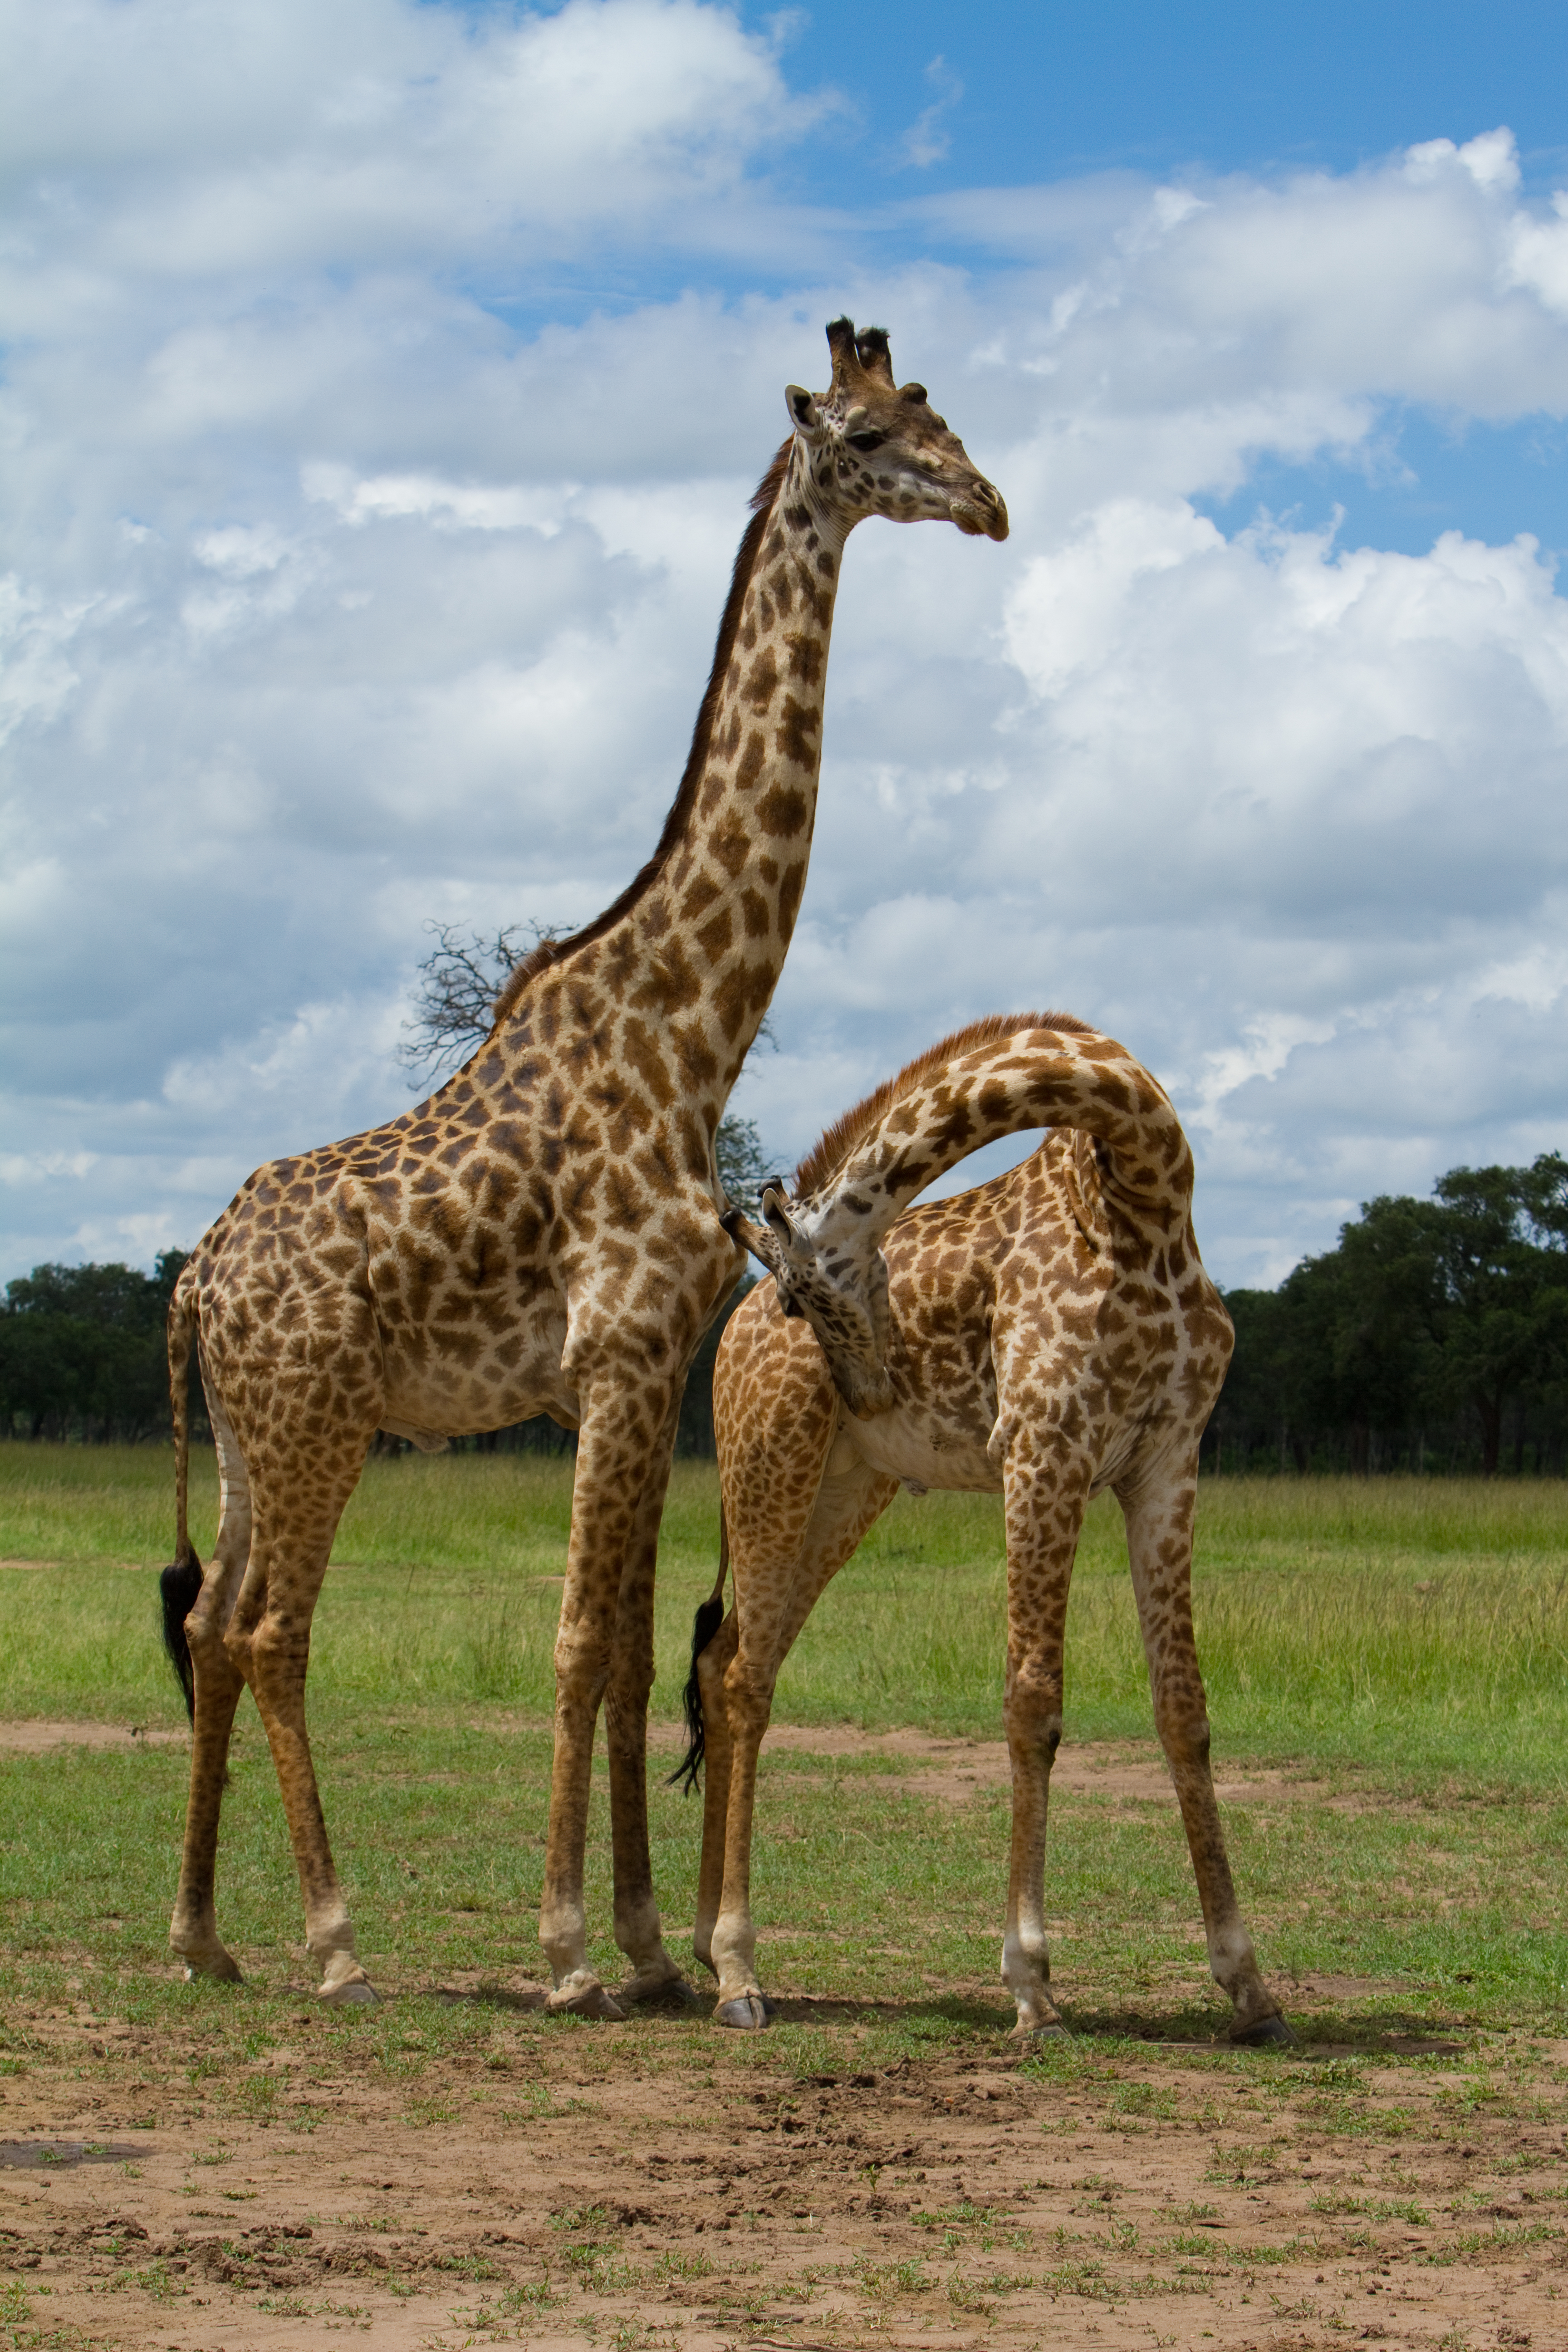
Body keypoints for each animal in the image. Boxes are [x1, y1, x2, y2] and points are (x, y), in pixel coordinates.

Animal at [158, 320, 1008, 2014]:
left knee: (214, 1623)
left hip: (245, 1430)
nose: (989, 503)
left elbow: (623, 1644)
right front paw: (564, 1951)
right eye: (872, 437)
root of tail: (198, 1275)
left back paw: (205, 1934)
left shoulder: (646, 1369)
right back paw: (334, 1940)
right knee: (274, 1630)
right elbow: (570, 1642)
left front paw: (651, 1947)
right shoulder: (615, 1356)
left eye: (940, 413)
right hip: (320, 1421)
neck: (688, 1033)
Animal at [681, 1014, 1291, 2044]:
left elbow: (1185, 1708)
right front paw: (1032, 1985)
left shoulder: (1168, 1457)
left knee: (726, 1660)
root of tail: (729, 1333)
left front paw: (1247, 1984)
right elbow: (1034, 1701)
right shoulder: (1044, 1446)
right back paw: (738, 1971)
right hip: (773, 1466)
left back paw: (700, 1942)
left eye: (807, 1293)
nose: (870, 1385)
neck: (1147, 1188)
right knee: (746, 1679)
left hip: (851, 1490)